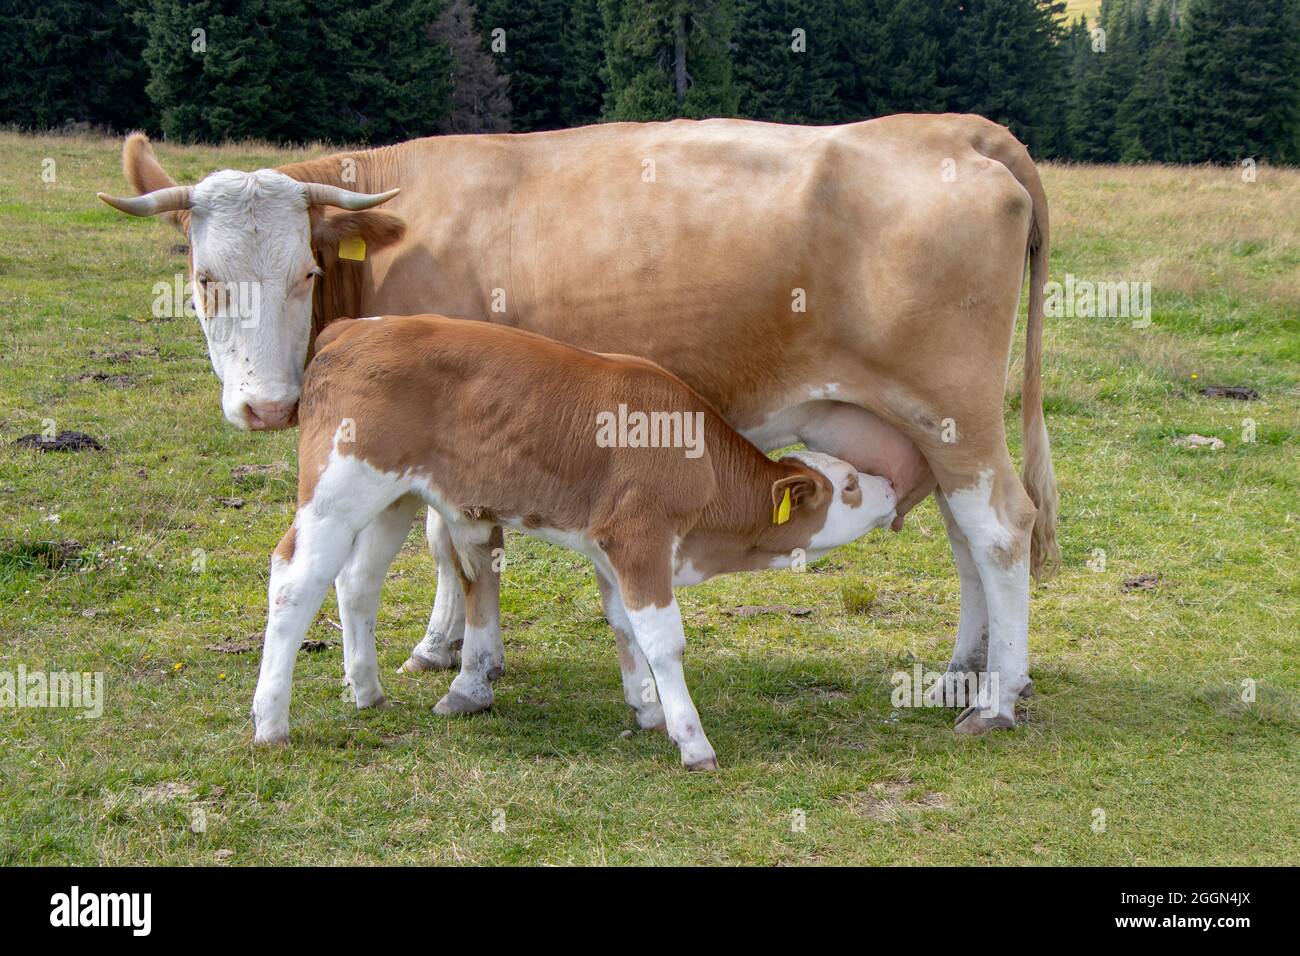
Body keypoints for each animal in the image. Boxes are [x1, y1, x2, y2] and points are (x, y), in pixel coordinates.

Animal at [253, 314, 899, 770]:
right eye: (847, 484)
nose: (890, 485)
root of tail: (353, 327)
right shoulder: (640, 538)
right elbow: (664, 640)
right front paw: (692, 741)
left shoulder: (610, 549)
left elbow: (624, 625)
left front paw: (647, 707)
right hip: (337, 490)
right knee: (294, 579)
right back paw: (270, 723)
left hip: (393, 498)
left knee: (356, 582)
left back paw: (366, 690)